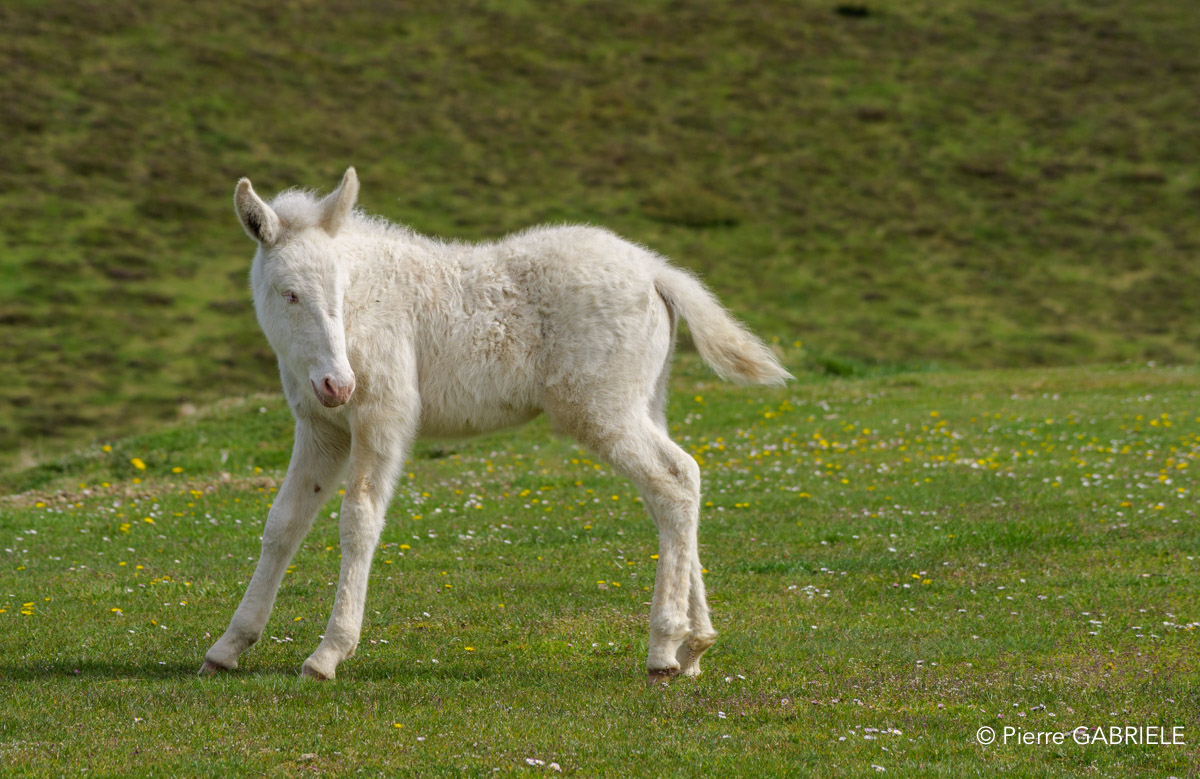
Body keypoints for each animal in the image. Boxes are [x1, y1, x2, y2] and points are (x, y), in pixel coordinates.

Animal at [200, 168, 791, 682]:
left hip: (603, 409)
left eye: (343, 292)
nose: (338, 385)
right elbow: (284, 523)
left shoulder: (382, 416)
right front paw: (229, 646)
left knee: (671, 482)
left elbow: (359, 521)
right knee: (679, 481)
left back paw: (664, 648)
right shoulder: (323, 430)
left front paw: (329, 653)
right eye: (289, 292)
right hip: (645, 402)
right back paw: (695, 645)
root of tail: (656, 271)